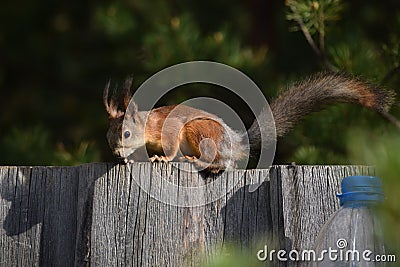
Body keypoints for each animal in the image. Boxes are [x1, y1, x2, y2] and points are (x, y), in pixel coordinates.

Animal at [103, 72, 394, 174]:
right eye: (108, 137)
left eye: (126, 134)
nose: (116, 153)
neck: (149, 124)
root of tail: (235, 142)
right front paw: (129, 159)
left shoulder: (172, 127)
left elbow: (170, 144)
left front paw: (162, 158)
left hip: (200, 131)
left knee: (219, 161)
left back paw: (198, 160)